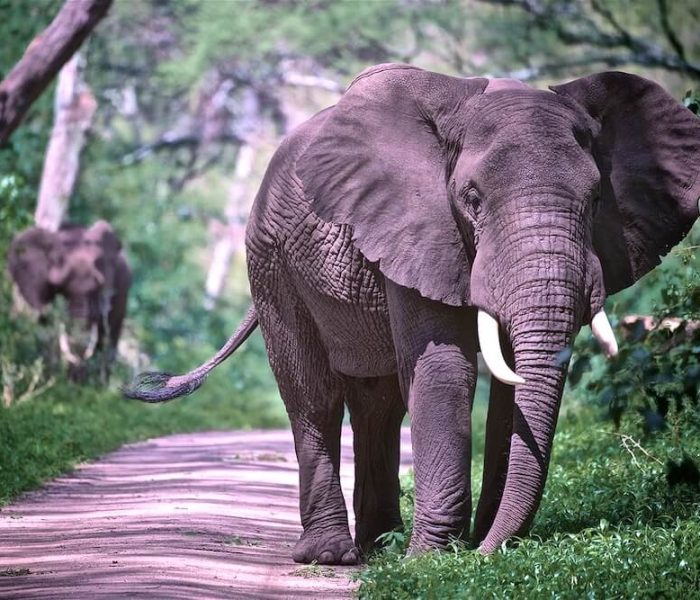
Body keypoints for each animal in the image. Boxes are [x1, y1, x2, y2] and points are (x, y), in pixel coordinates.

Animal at [125, 64, 700, 564]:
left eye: (597, 198)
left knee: (377, 404)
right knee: (313, 395)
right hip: (269, 259)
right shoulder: (415, 226)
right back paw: (333, 555)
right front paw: (433, 560)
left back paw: (380, 547)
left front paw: (458, 548)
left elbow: (506, 382)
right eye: (471, 199)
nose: (488, 551)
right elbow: (444, 368)